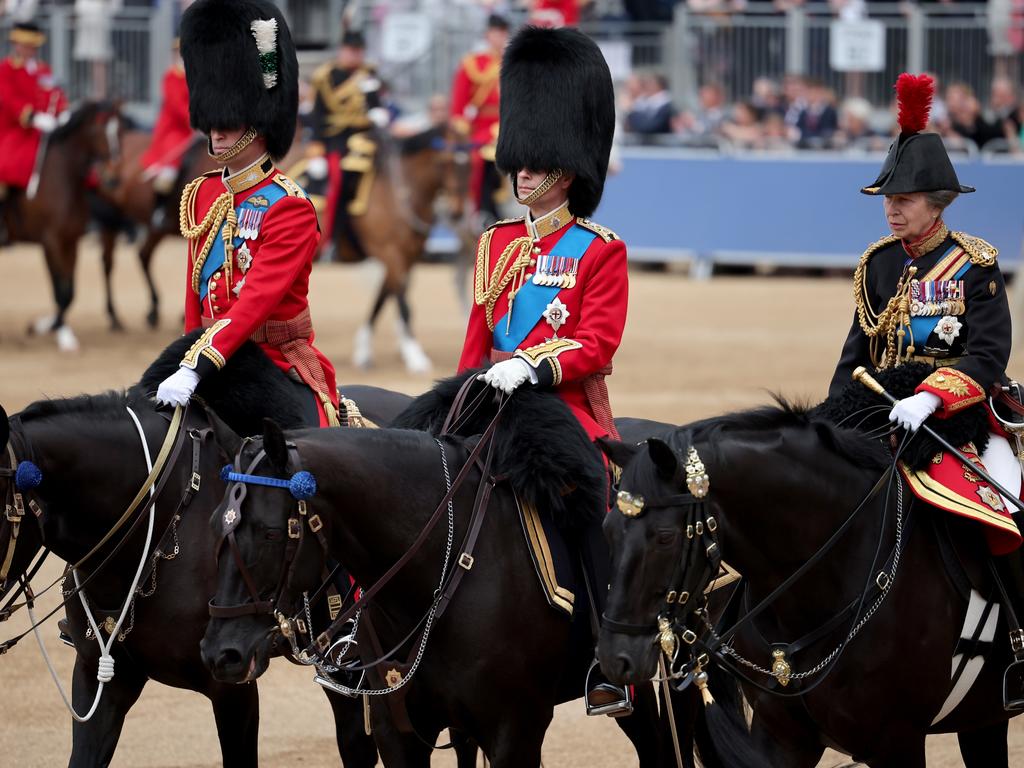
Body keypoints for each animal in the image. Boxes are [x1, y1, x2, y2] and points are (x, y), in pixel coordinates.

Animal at [1, 101, 123, 352]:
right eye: (97, 130)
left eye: (120, 130)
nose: (113, 176)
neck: (65, 177)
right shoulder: (52, 242)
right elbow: (61, 291)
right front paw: (62, 334)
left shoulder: (70, 241)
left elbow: (69, 292)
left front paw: (46, 326)